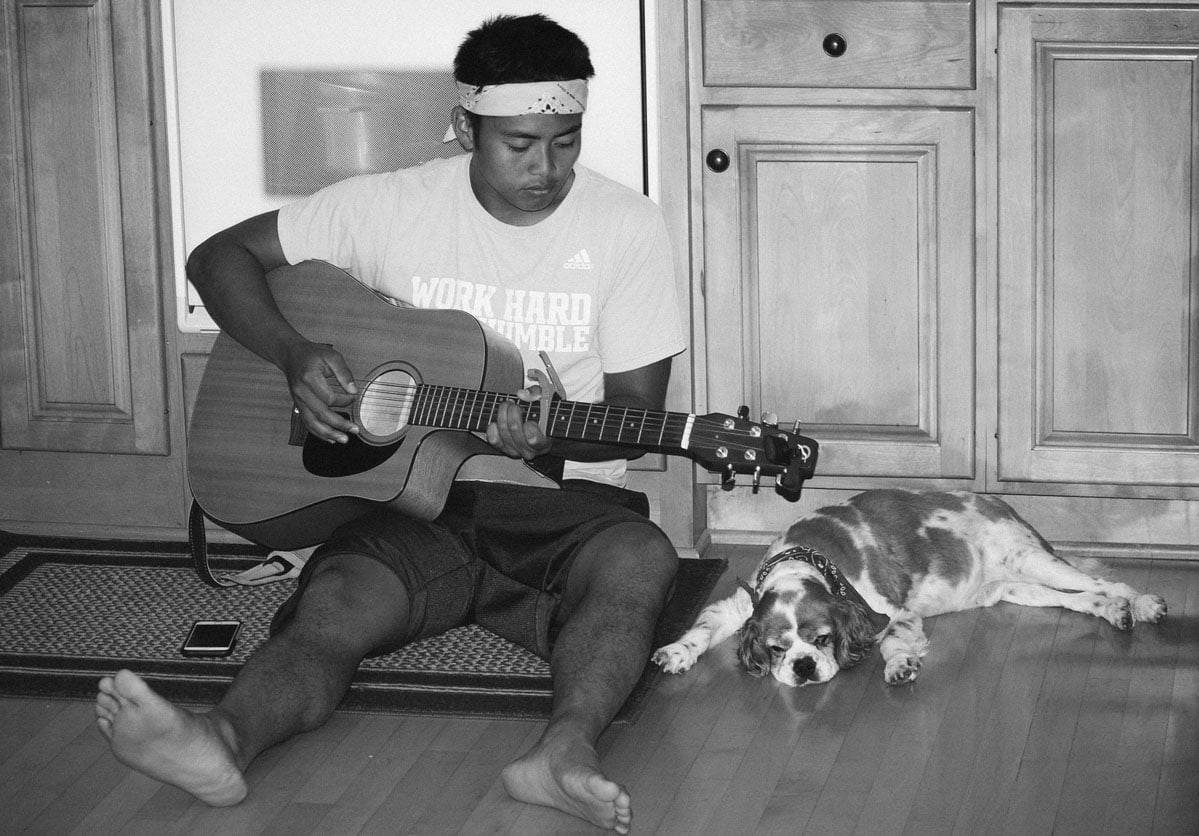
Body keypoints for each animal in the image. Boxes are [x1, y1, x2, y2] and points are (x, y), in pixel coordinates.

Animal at [652, 489, 1165, 686]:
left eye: (823, 640)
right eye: (778, 649)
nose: (802, 667)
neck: (802, 559)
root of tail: (1001, 503)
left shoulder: (892, 612)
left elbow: (893, 640)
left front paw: (900, 665)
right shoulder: (741, 605)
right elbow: (702, 626)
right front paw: (676, 651)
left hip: (1034, 560)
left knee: (1107, 581)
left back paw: (1142, 603)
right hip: (1016, 587)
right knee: (1086, 597)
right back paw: (1114, 611)